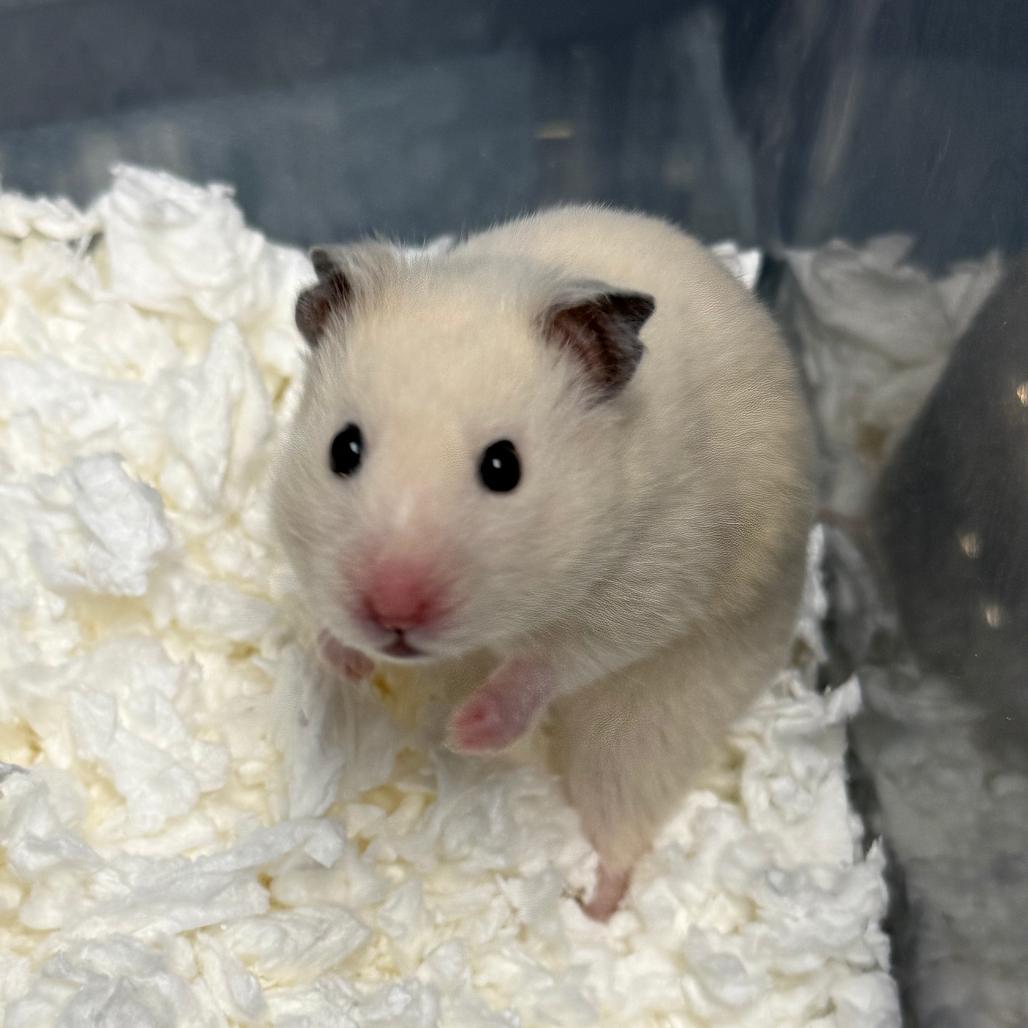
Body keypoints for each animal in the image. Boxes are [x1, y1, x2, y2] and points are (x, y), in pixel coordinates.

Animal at [271, 205, 815, 920]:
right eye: (344, 448)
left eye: (504, 467)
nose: (393, 614)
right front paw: (347, 662)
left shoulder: (652, 580)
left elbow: (549, 661)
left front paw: (467, 732)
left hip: (660, 710)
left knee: (624, 811)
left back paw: (595, 907)